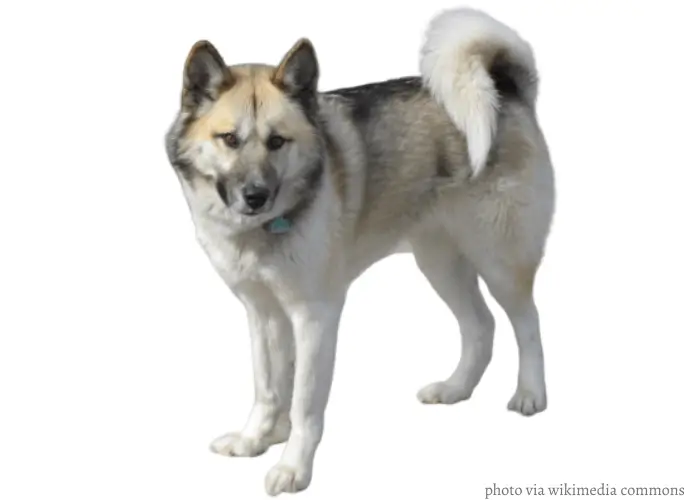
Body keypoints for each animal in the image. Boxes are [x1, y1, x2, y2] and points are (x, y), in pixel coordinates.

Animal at [163, 4, 552, 496]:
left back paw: (531, 393)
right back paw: (454, 389)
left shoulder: (315, 316)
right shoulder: (264, 313)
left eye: (277, 141)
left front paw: (293, 466)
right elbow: (269, 387)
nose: (255, 196)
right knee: (480, 326)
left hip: (499, 259)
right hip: (438, 263)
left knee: (528, 322)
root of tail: (507, 91)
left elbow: (305, 401)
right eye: (229, 139)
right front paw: (257, 439)